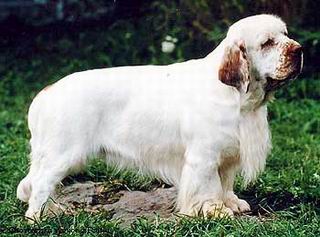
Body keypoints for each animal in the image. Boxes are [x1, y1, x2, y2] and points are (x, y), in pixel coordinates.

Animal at [16, 14, 302, 220]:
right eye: (267, 42)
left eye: (285, 35)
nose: (299, 50)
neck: (238, 98)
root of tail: (47, 92)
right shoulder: (204, 157)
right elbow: (209, 187)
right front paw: (214, 210)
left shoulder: (227, 155)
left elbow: (225, 183)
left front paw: (231, 203)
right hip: (64, 154)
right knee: (41, 185)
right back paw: (39, 218)